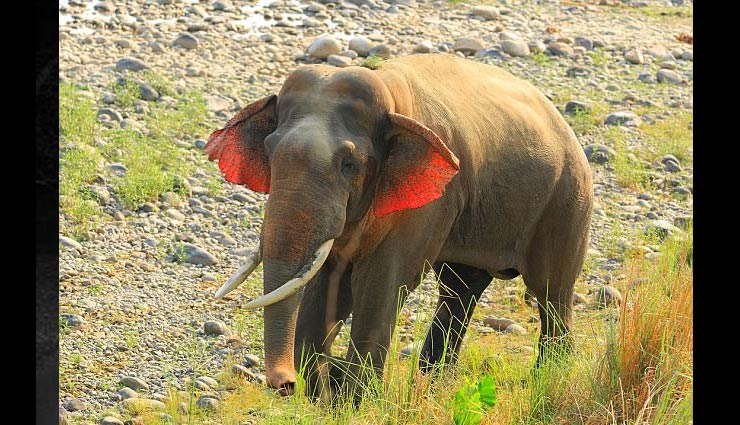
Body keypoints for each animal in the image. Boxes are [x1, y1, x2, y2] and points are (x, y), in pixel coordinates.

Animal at [204, 52, 596, 398]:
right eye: (269, 152)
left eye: (349, 164)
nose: (284, 384)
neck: (391, 96)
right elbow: (327, 280)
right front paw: (328, 390)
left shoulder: (431, 202)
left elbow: (383, 281)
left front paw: (351, 399)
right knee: (459, 290)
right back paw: (432, 385)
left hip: (567, 202)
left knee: (551, 292)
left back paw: (549, 378)